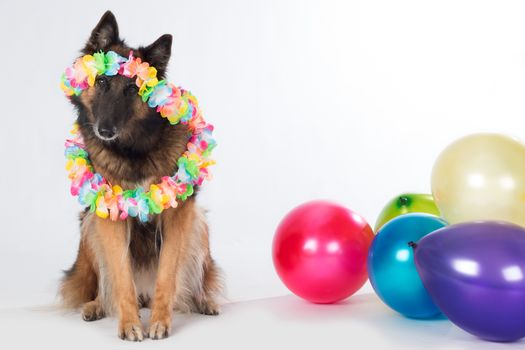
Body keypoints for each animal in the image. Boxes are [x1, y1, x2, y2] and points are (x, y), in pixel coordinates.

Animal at [60, 11, 222, 342]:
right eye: (103, 81)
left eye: (133, 90)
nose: (105, 131)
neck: (134, 148)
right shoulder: (109, 214)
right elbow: (121, 278)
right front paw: (130, 324)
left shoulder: (178, 214)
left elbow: (168, 274)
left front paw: (160, 322)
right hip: (90, 224)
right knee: (106, 285)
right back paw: (96, 305)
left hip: (199, 225)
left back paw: (203, 301)